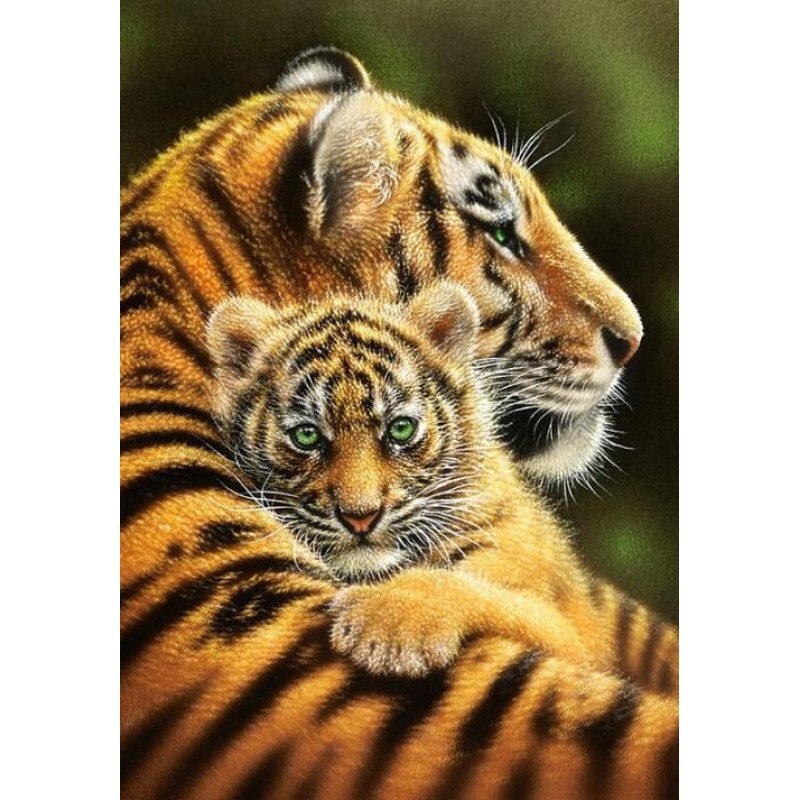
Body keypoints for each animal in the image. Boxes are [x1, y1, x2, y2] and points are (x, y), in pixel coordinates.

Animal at [207, 280, 678, 689]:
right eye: (306, 436)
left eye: (400, 429)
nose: (360, 518)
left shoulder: (569, 635)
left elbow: (475, 589)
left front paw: (387, 629)